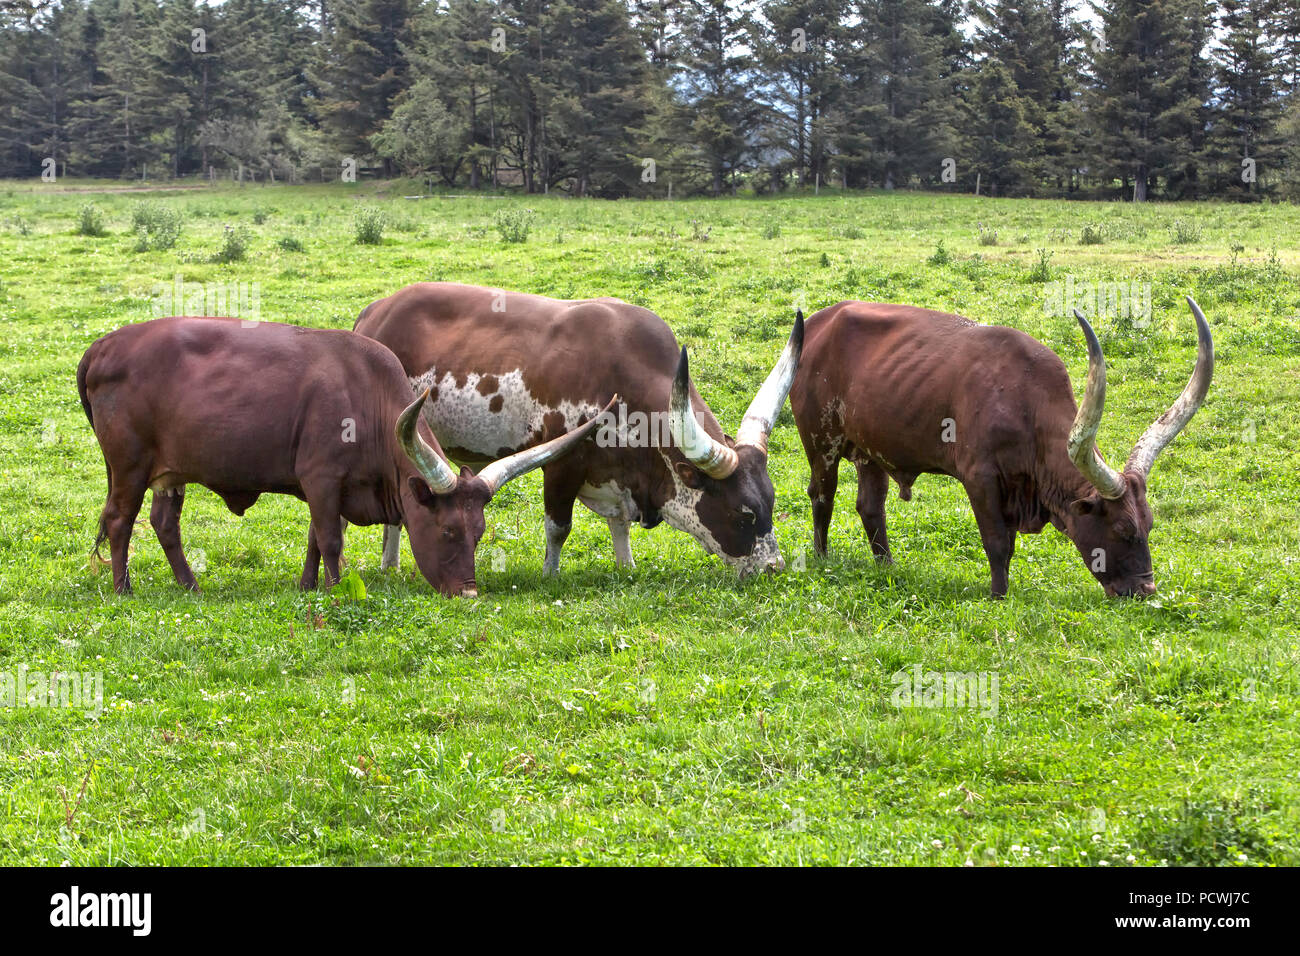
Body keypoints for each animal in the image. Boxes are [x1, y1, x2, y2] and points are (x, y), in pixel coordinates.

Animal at [76, 316, 614, 597]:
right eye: (447, 531)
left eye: (479, 533)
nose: (468, 592)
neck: (366, 397)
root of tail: (103, 346)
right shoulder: (321, 478)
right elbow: (331, 539)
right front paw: (335, 590)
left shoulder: (324, 488)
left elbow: (315, 538)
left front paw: (308, 586)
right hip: (129, 467)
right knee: (120, 521)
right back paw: (124, 589)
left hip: (170, 473)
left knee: (165, 524)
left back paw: (190, 585)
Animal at [353, 283, 803, 577]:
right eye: (744, 513)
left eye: (771, 500)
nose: (774, 567)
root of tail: (376, 309)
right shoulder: (561, 463)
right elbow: (558, 527)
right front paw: (550, 575)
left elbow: (619, 525)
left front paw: (627, 566)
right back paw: (390, 564)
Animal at [791, 297, 1213, 598]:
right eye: (1123, 529)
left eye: (1150, 523)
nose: (1146, 589)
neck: (1026, 402)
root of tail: (817, 322)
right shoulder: (980, 478)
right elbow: (997, 543)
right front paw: (999, 595)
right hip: (821, 443)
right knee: (822, 496)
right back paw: (823, 560)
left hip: (870, 451)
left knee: (870, 507)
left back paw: (888, 568)